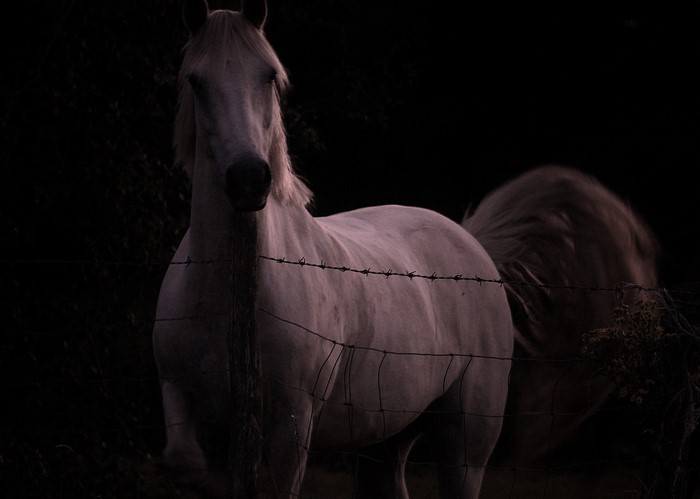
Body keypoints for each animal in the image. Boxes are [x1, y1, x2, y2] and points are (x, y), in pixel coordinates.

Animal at [153, 1, 659, 497]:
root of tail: (472, 243)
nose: (248, 179)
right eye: (195, 80)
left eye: (269, 76)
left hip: (464, 442)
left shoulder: (291, 426)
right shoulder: (178, 393)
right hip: (386, 437)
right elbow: (184, 463)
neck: (231, 287)